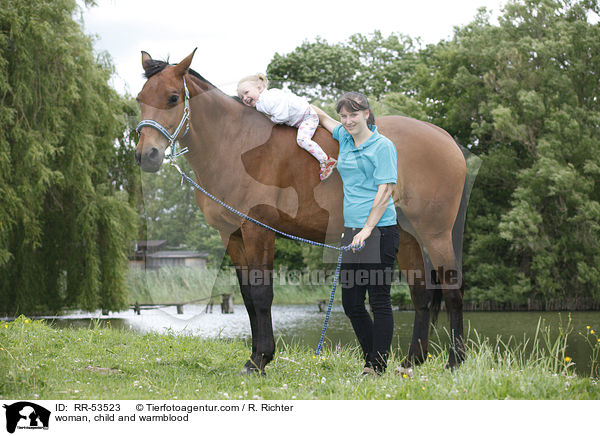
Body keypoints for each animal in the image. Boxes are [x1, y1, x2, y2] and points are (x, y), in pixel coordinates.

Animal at [135, 49, 468, 372]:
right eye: (140, 98)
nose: (146, 156)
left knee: (452, 289)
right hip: (407, 235)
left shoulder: (258, 229)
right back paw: (411, 361)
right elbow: (247, 296)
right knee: (421, 294)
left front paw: (260, 359)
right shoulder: (231, 234)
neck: (236, 144)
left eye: (173, 97)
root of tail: (445, 138)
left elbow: (262, 294)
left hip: (435, 234)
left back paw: (454, 361)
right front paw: (255, 357)